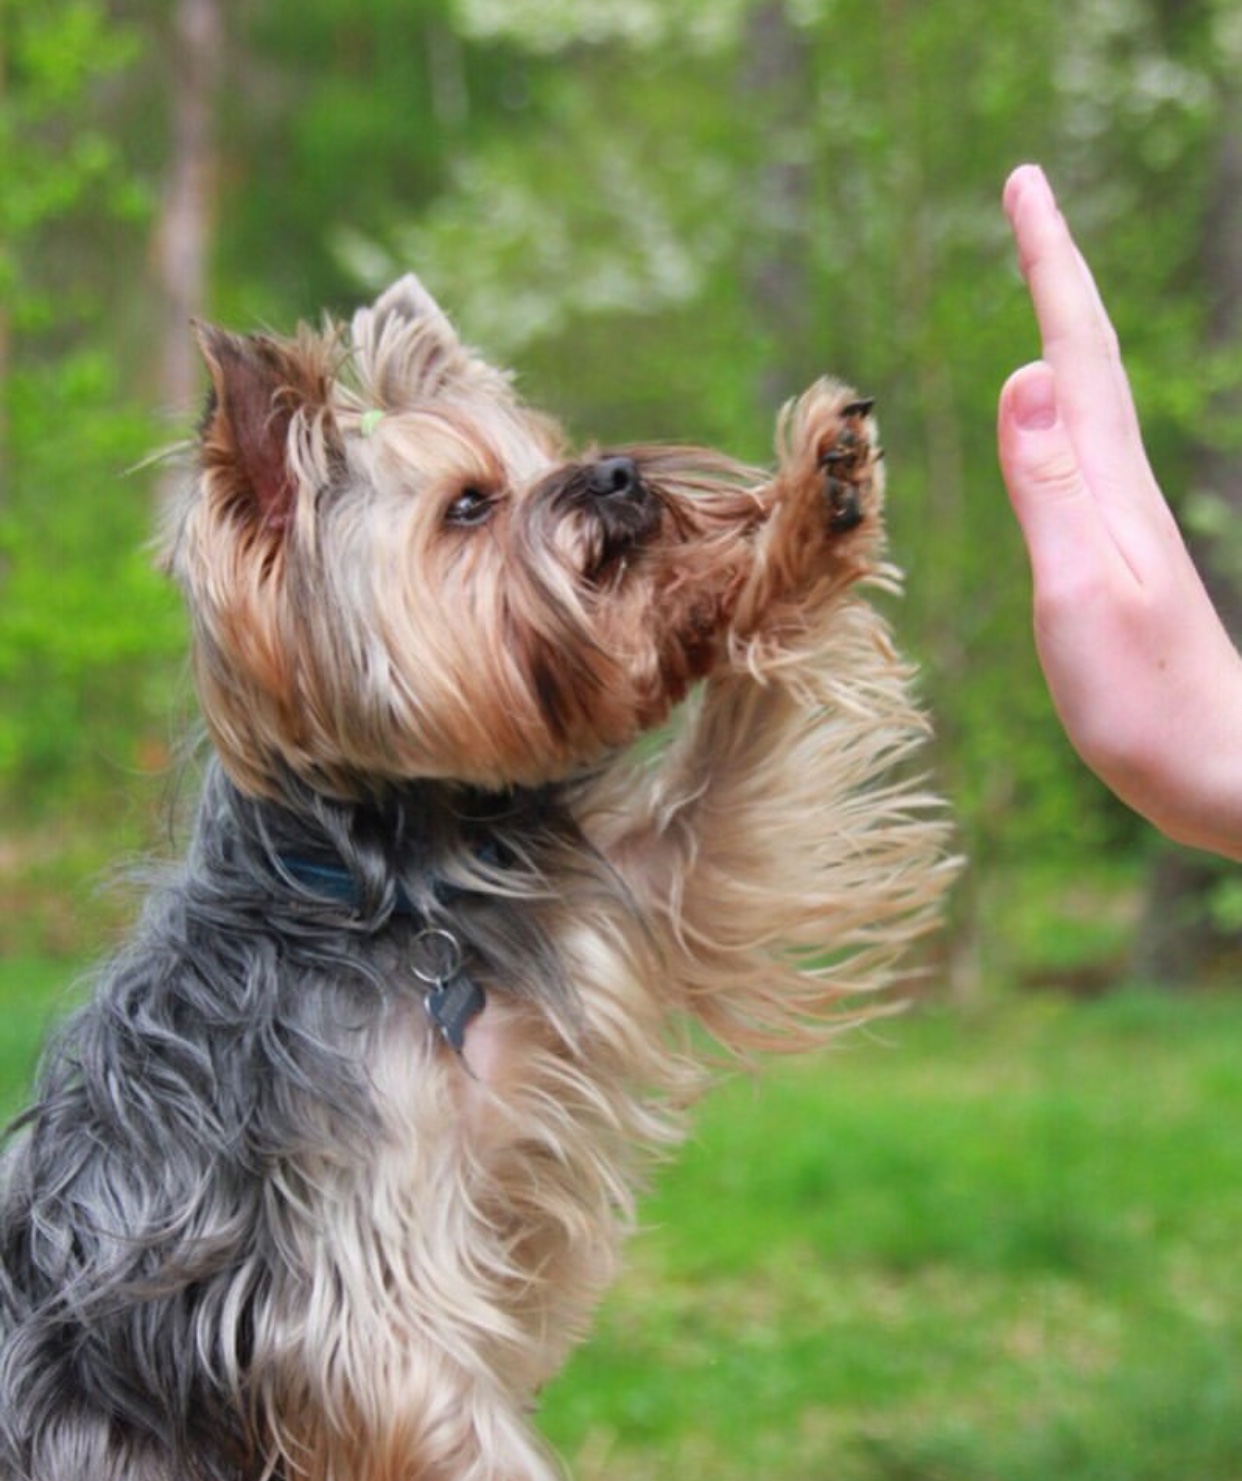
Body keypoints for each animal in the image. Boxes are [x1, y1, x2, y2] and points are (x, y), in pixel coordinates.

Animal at [2, 278, 953, 1481]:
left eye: (553, 454)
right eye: (468, 506)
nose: (618, 473)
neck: (409, 888)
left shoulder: (644, 898)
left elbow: (731, 805)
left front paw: (818, 507)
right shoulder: (351, 1285)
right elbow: (437, 1402)